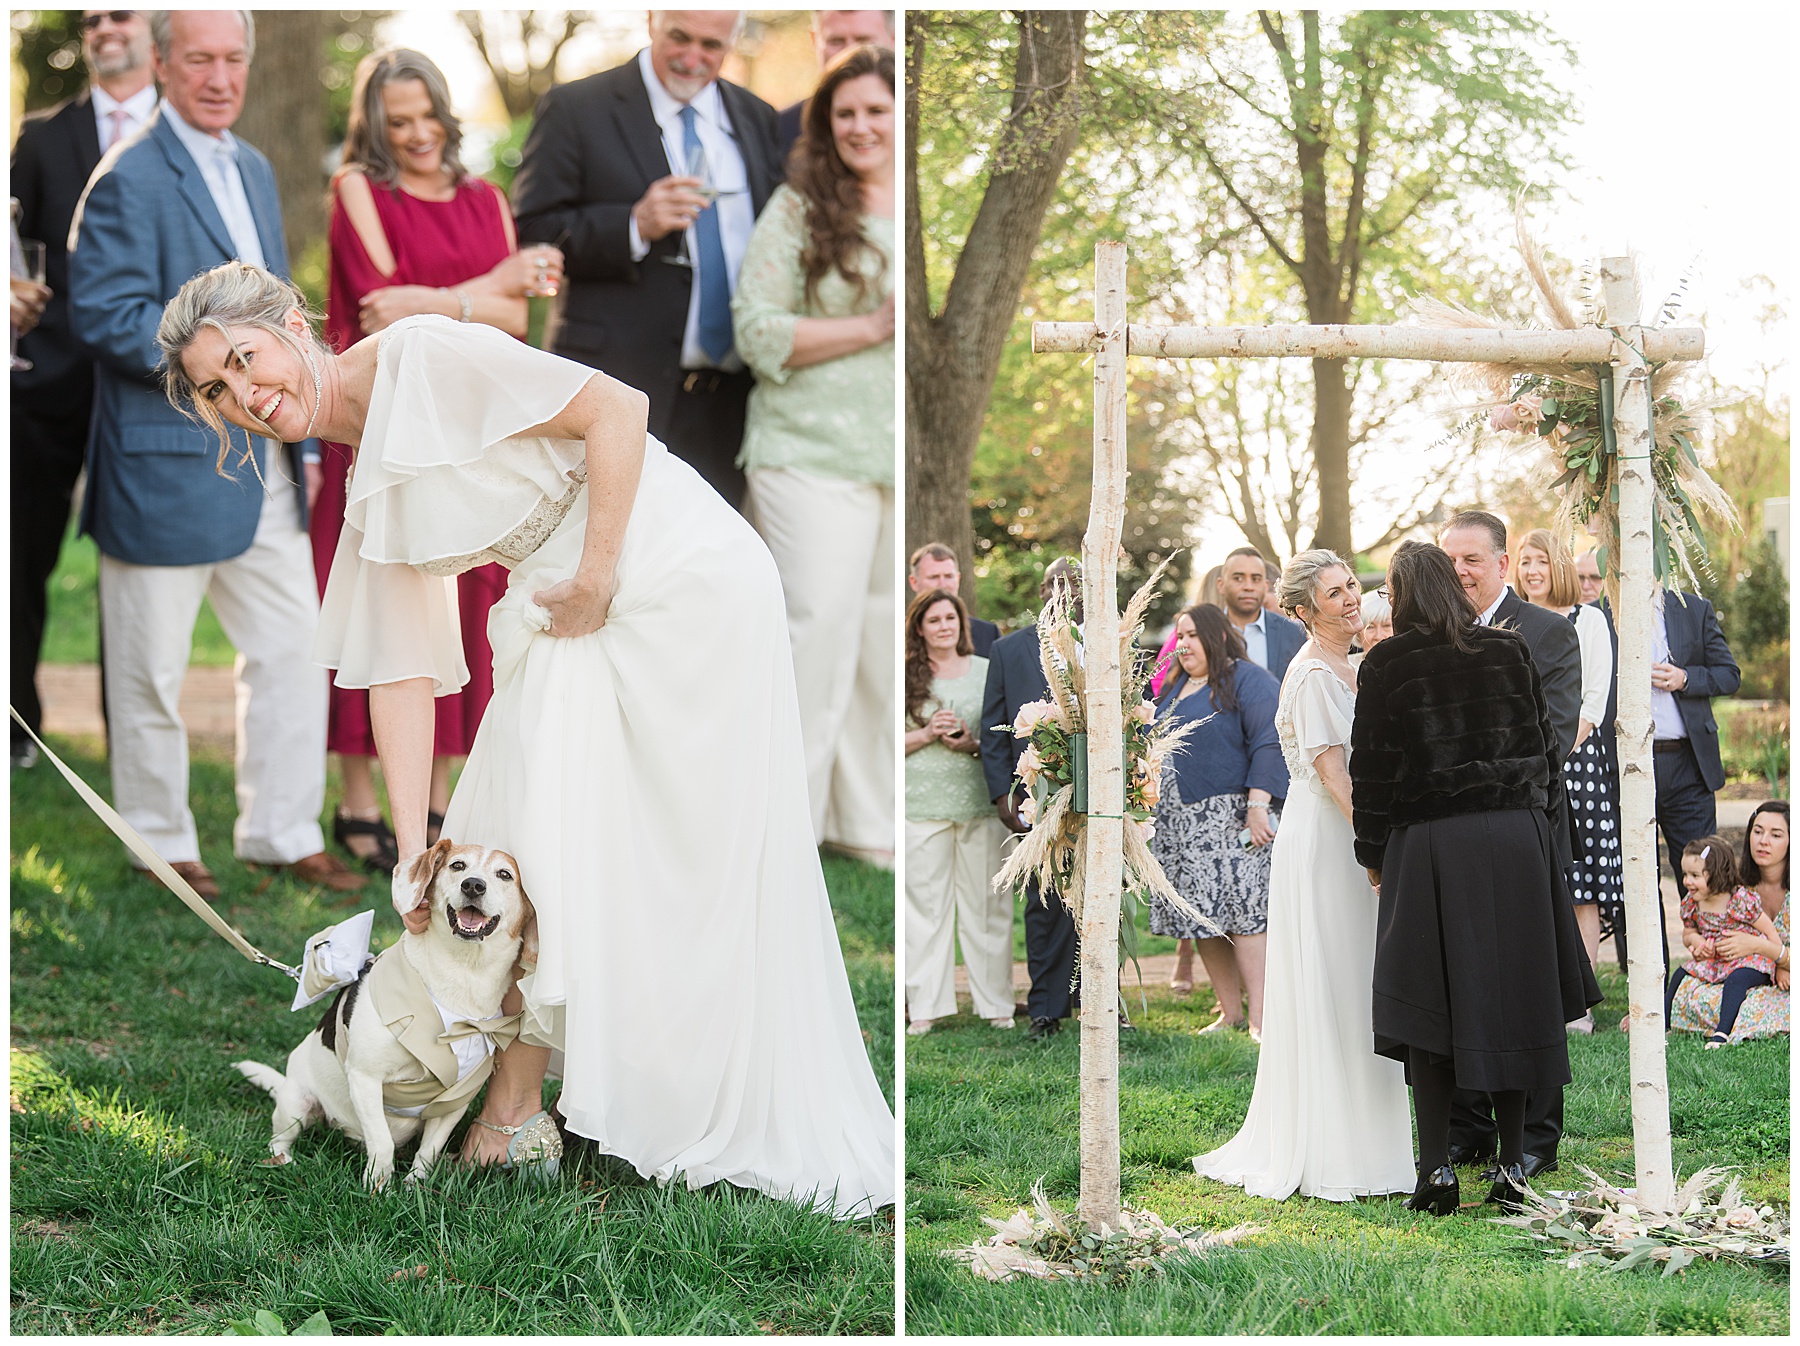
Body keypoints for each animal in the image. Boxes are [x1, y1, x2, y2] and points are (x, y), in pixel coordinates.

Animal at [230, 842, 532, 1187]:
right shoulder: (365, 1077)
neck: (463, 973)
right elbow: (382, 1142)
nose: (473, 885)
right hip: (295, 1103)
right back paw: (283, 1160)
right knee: (280, 1137)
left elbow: (429, 1151)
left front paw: (414, 1187)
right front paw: (378, 1189)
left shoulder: (455, 1101)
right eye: (457, 866)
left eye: (505, 874)